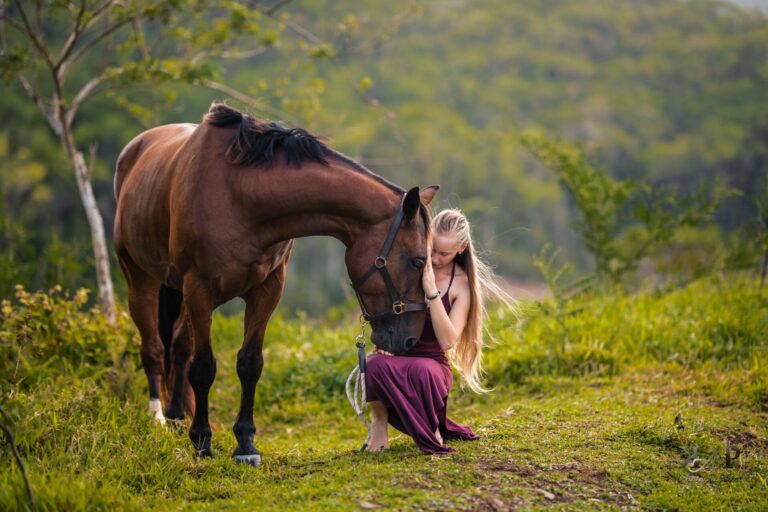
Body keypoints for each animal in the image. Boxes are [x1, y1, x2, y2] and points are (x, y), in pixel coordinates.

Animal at [113, 104, 438, 464]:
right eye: (418, 261)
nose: (410, 341)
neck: (239, 196)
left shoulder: (267, 290)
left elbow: (249, 363)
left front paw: (245, 443)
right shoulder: (199, 288)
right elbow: (204, 367)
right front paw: (202, 441)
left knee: (179, 346)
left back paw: (175, 417)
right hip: (141, 282)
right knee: (154, 350)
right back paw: (158, 418)